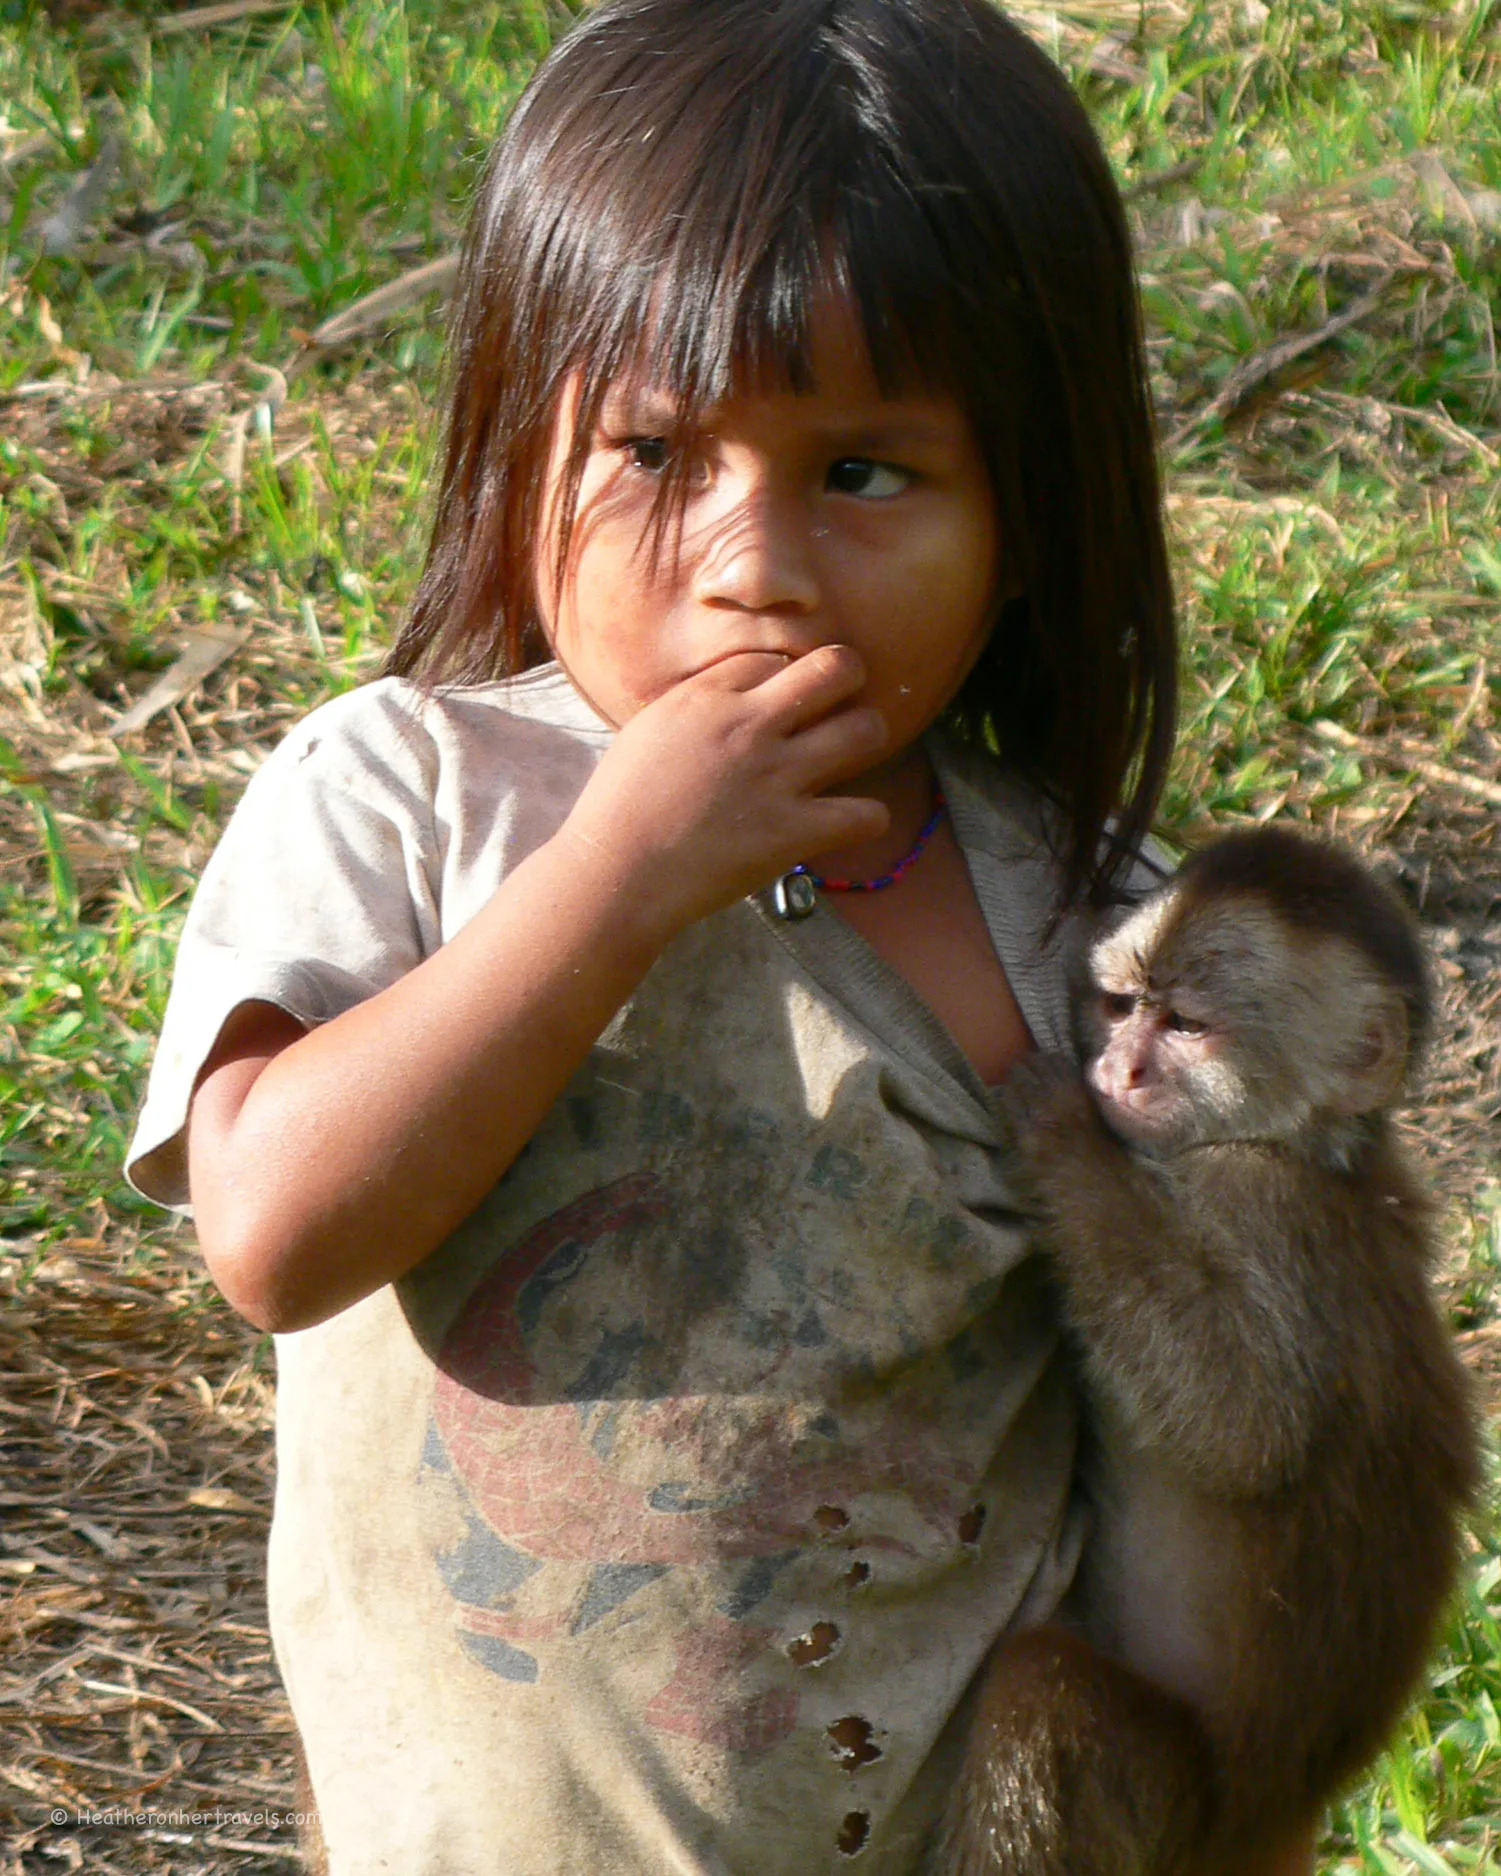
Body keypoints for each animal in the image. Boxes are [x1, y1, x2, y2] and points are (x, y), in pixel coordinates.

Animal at [929, 827, 1480, 1876]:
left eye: (1185, 1025)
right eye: (1119, 1005)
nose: (1119, 1072)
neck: (1304, 1149)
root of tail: (1274, 1817)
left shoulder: (1257, 1201)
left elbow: (1241, 1426)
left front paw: (1067, 1141)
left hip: (1173, 1809)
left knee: (1039, 1690)